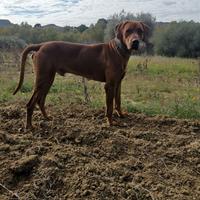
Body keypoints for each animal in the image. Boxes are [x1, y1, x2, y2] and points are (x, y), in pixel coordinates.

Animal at [13, 21, 148, 129]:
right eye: (128, 31)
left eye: (140, 31)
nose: (135, 42)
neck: (119, 50)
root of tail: (41, 45)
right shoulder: (109, 85)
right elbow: (109, 107)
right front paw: (110, 123)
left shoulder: (118, 82)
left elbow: (118, 101)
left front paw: (121, 115)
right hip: (42, 80)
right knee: (30, 104)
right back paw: (29, 126)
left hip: (48, 79)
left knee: (40, 101)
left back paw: (47, 118)